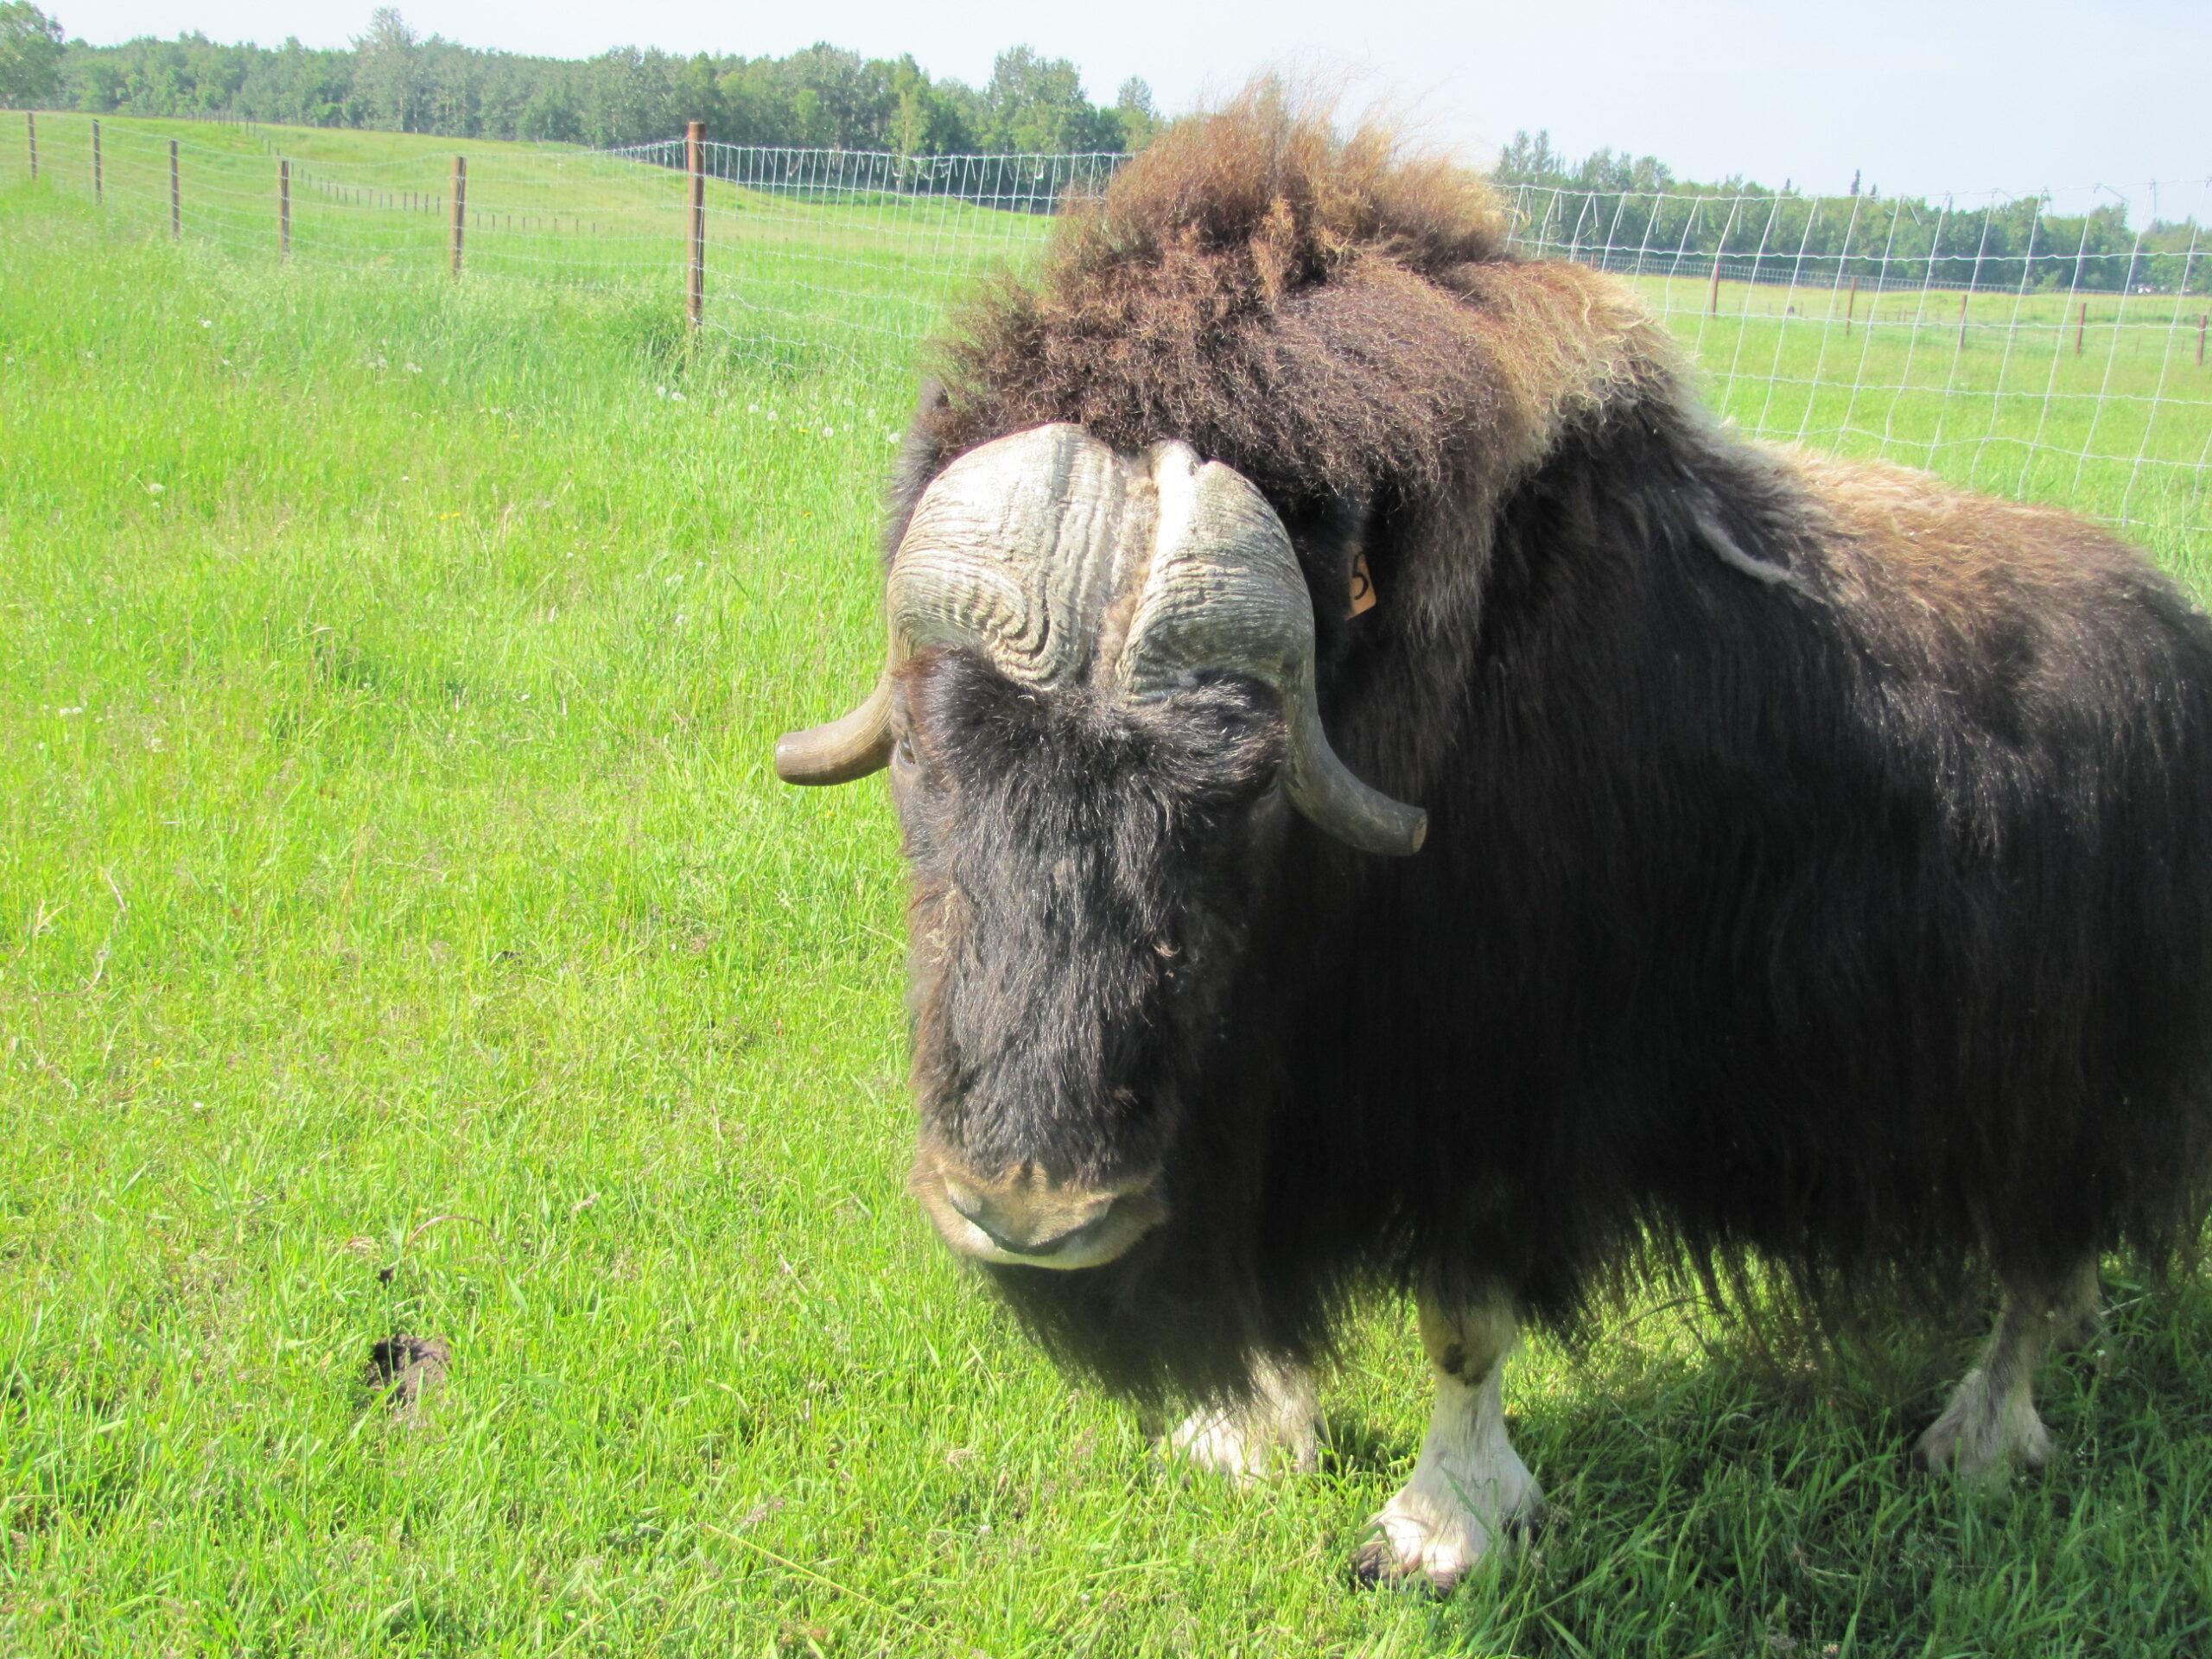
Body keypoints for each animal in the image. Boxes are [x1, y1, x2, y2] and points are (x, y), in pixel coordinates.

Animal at [772, 89, 2212, 1589]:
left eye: (1250, 789)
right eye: (926, 752)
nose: (1031, 1217)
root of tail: (2177, 638)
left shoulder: (1495, 1095)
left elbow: (1462, 1324)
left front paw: (1442, 1526)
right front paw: (1248, 1431)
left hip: (2067, 1085)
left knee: (2044, 1263)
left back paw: (1977, 1442)